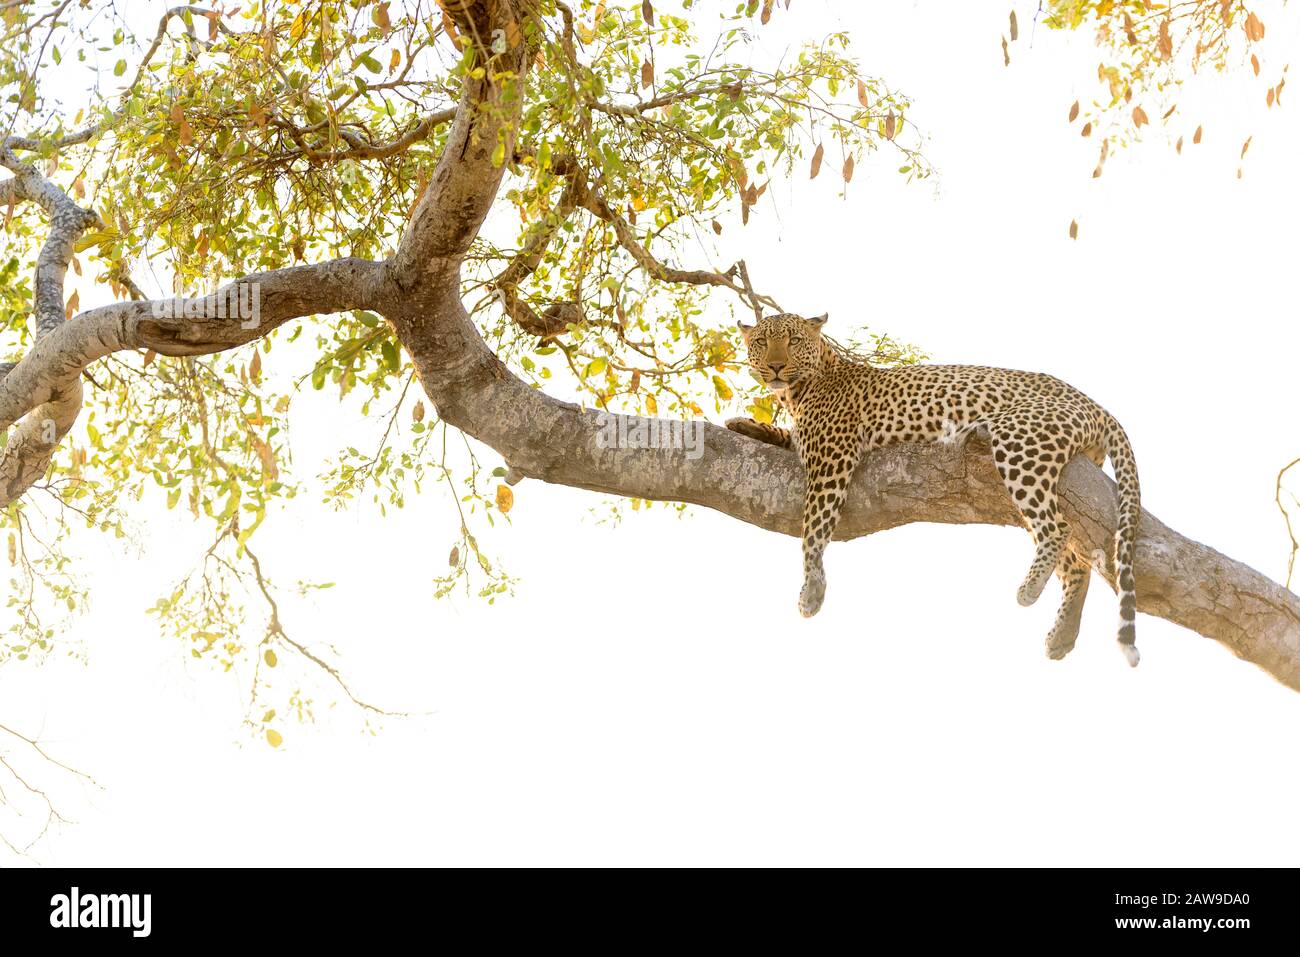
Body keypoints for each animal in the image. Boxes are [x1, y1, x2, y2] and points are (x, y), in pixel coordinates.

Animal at [728, 312, 1144, 665]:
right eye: (762, 342)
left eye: (794, 340)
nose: (776, 366)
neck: (797, 392)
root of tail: (1095, 404)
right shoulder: (806, 443)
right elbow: (783, 436)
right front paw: (744, 425)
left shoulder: (832, 458)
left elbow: (813, 527)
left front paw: (811, 590)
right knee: (1076, 559)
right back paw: (1062, 634)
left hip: (1019, 441)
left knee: (1058, 529)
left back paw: (1028, 590)